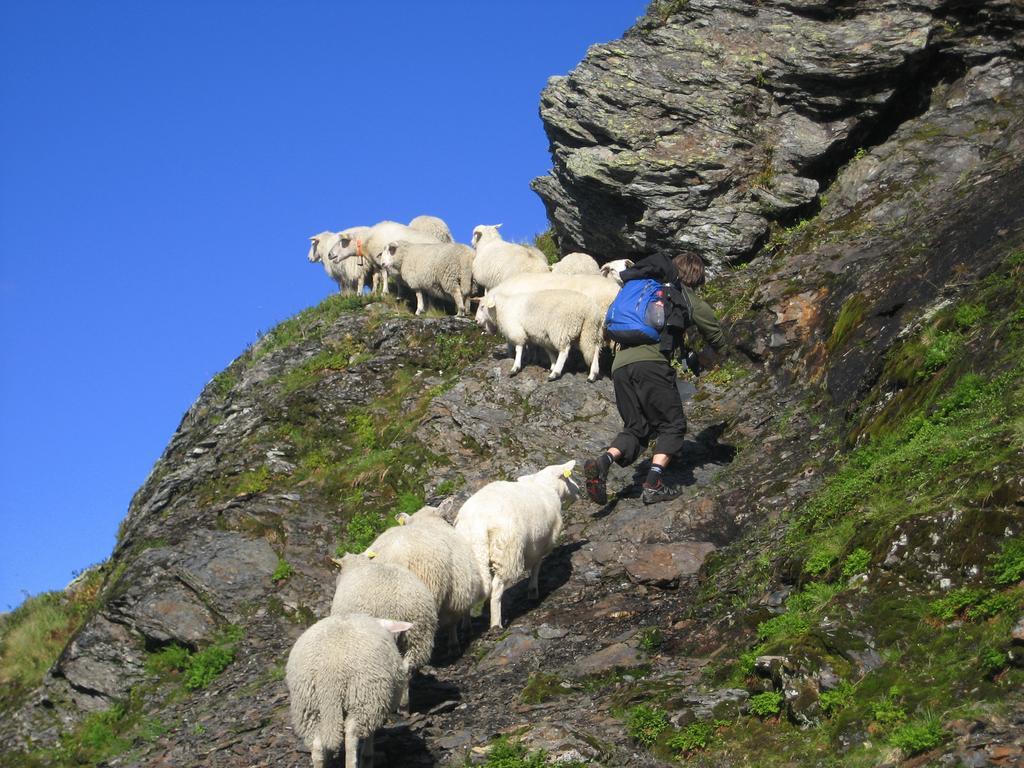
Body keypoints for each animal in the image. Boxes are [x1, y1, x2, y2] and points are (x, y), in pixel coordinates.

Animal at [286, 614, 409, 768]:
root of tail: (330, 668)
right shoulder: (375, 703)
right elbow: (370, 733)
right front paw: (368, 755)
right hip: (363, 697)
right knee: (351, 736)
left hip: (308, 705)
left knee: (317, 745)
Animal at [454, 462, 577, 630]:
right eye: (569, 477)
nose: (579, 490)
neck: (546, 486)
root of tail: (478, 523)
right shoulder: (541, 544)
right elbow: (536, 567)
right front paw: (533, 592)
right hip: (506, 552)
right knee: (497, 589)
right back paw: (496, 624)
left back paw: (466, 625)